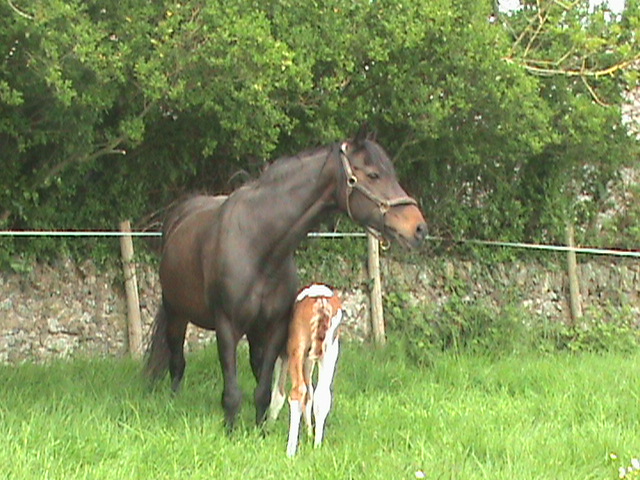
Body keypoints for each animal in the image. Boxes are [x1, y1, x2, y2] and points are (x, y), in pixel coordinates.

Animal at [144, 129, 424, 430]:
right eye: (373, 174)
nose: (419, 228)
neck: (258, 243)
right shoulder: (226, 327)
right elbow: (232, 392)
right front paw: (230, 431)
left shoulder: (274, 328)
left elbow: (264, 389)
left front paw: (260, 430)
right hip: (176, 313)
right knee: (176, 361)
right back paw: (174, 400)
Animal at [268, 284, 342, 458]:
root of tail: (322, 301)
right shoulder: (309, 360)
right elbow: (310, 394)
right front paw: (309, 434)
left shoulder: (283, 357)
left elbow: (278, 393)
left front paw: (268, 426)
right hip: (330, 351)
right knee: (322, 395)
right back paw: (317, 445)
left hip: (297, 348)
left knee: (298, 391)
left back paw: (290, 450)